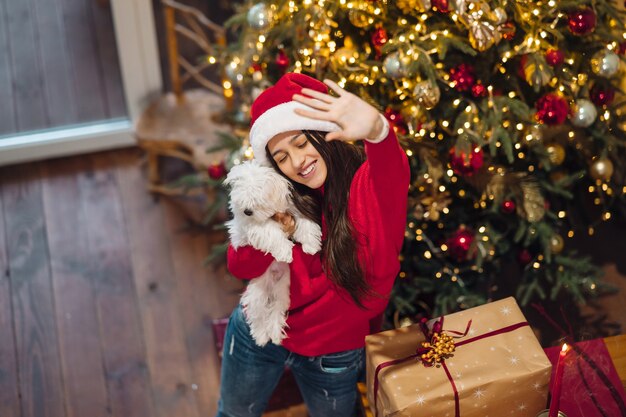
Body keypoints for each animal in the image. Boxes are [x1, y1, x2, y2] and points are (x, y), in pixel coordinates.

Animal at [224, 159, 322, 344]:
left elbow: (305, 222)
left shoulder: (292, 210)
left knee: (276, 310)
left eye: (257, 199)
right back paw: (262, 336)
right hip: (257, 293)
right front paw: (285, 252)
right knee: (258, 314)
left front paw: (311, 245)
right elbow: (270, 231)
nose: (247, 211)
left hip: (282, 292)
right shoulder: (253, 226)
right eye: (241, 199)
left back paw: (275, 334)